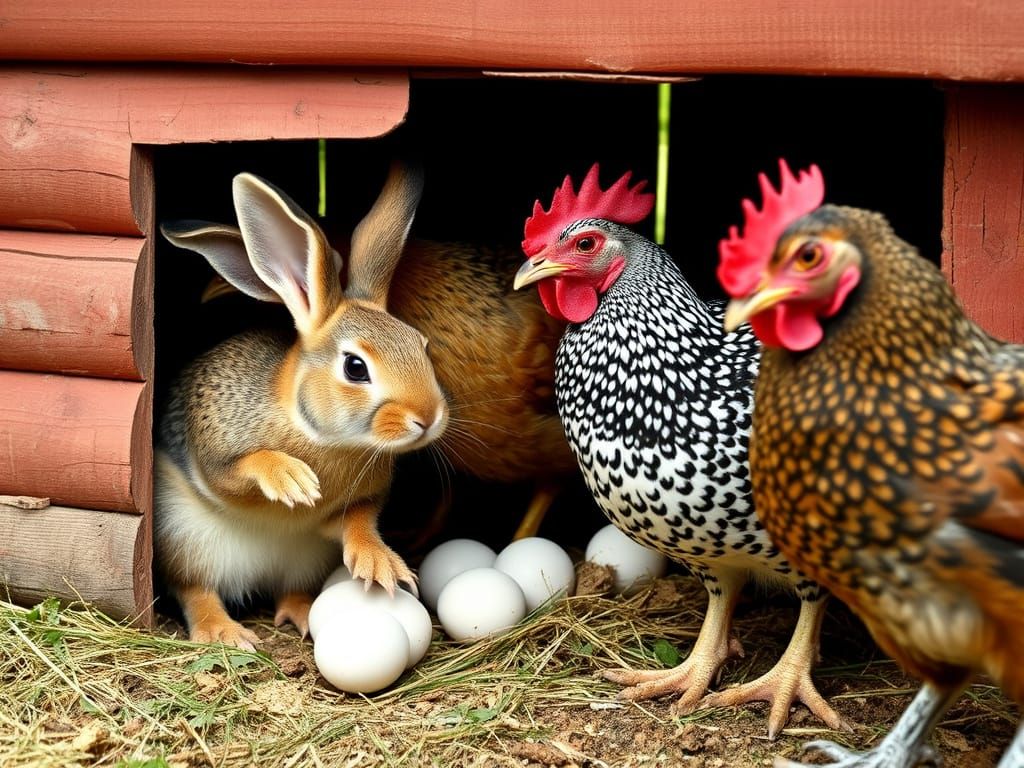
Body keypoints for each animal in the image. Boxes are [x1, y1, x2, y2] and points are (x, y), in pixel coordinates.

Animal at [156, 161, 448, 649]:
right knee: (195, 589)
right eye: (355, 367)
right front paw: (290, 478)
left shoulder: (361, 500)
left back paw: (304, 614)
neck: (320, 433)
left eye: (421, 345)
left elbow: (359, 519)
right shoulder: (212, 454)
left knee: (290, 589)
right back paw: (225, 632)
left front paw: (377, 561)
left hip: (302, 561)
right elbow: (234, 472)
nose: (428, 418)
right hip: (184, 538)